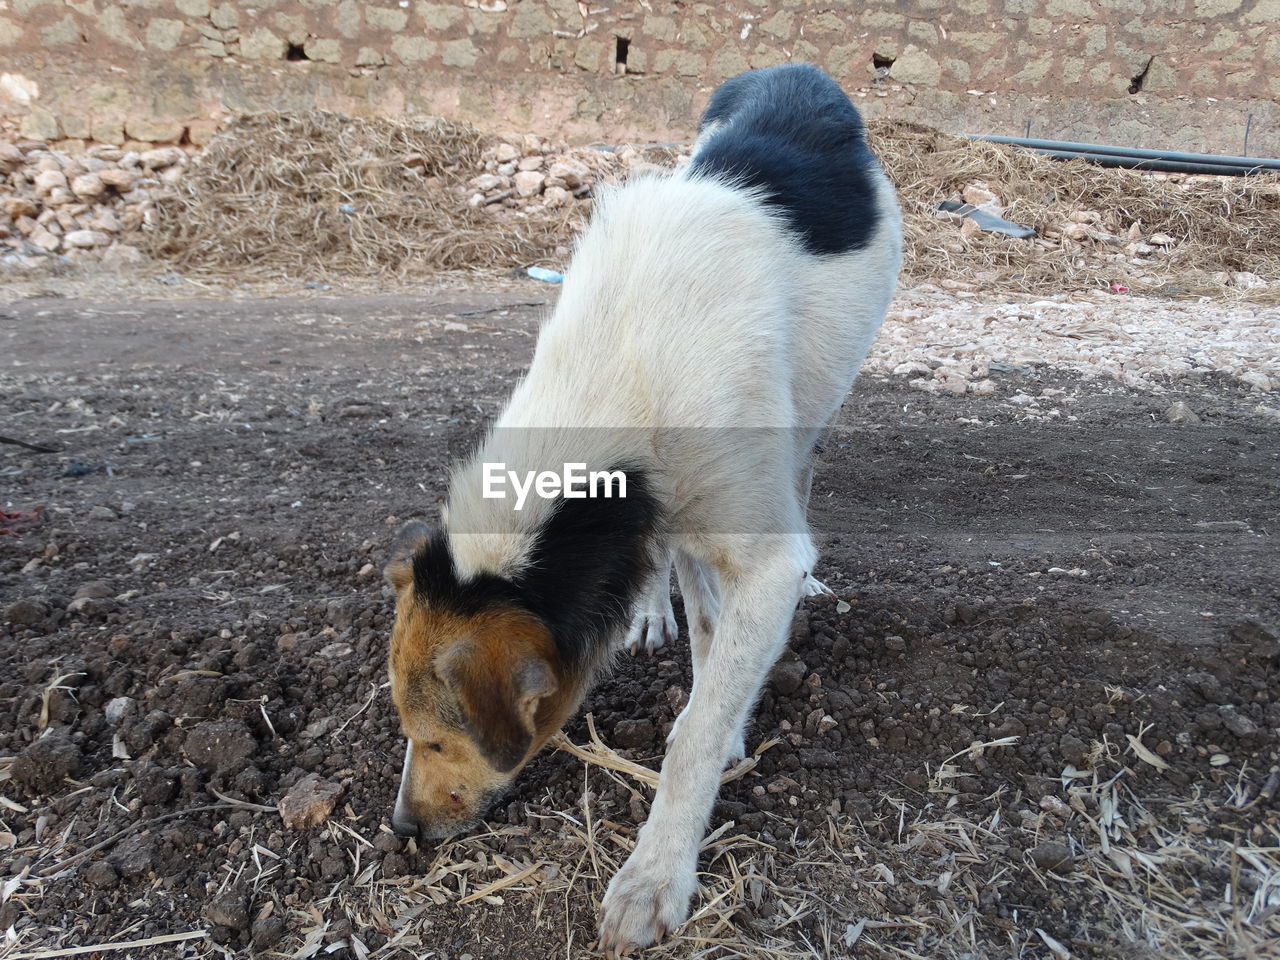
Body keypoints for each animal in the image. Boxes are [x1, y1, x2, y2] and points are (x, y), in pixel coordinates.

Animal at [381, 65, 901, 957]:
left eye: (439, 738)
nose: (401, 831)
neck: (623, 376)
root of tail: (794, 74)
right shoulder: (673, 511)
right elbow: (706, 630)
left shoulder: (754, 545)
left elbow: (701, 719)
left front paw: (652, 884)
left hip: (819, 399)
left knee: (800, 469)